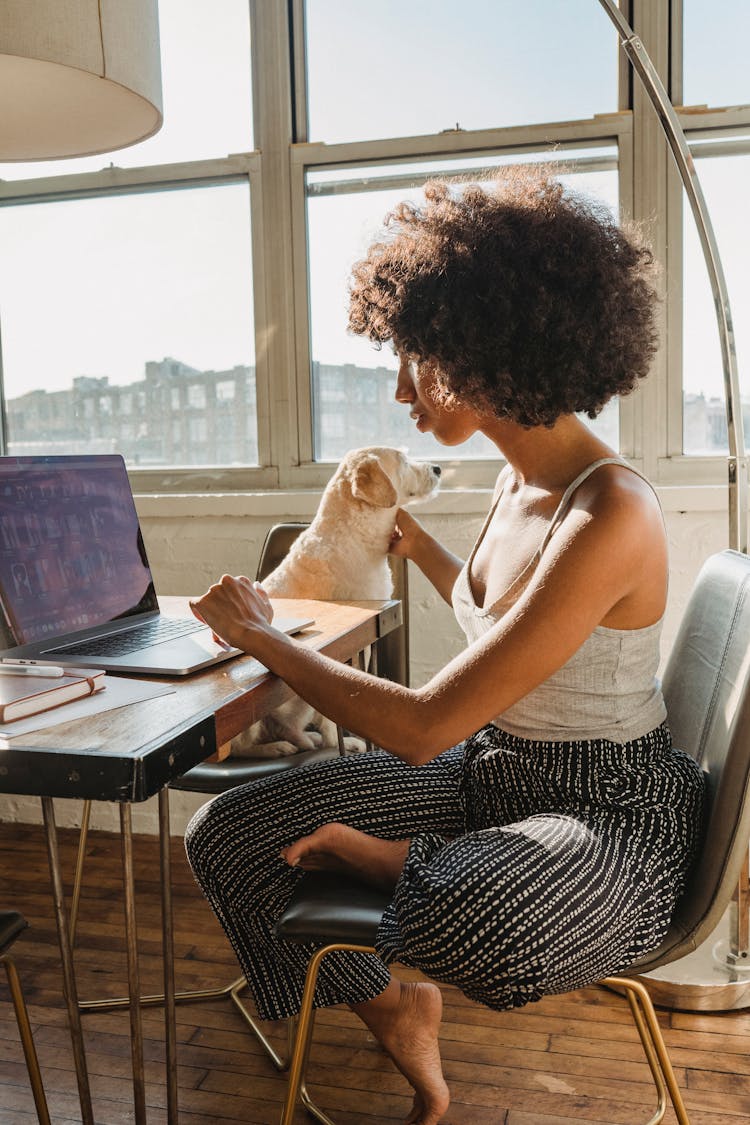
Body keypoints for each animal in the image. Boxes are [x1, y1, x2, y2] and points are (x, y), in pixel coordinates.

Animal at [229, 445, 440, 756]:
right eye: (402, 461)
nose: (438, 468)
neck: (357, 533)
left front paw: (341, 740)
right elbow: (333, 716)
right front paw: (336, 741)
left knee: (287, 727)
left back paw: (304, 740)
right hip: (249, 722)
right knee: (238, 749)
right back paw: (275, 749)